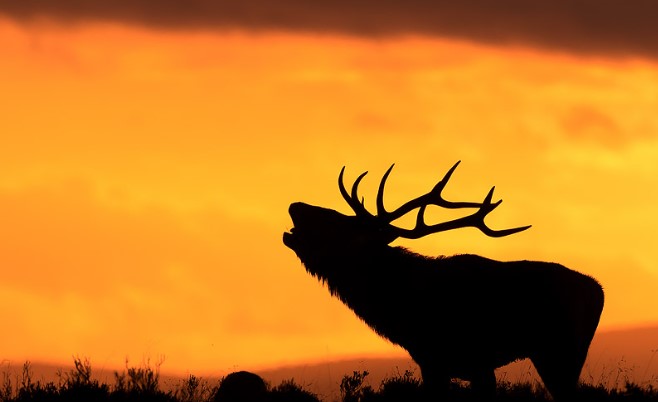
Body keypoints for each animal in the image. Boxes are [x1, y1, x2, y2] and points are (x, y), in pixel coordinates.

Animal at [283, 161, 604, 401]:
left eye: (340, 224)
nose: (295, 205)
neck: (398, 308)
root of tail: (598, 291)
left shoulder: (461, 359)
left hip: (560, 350)